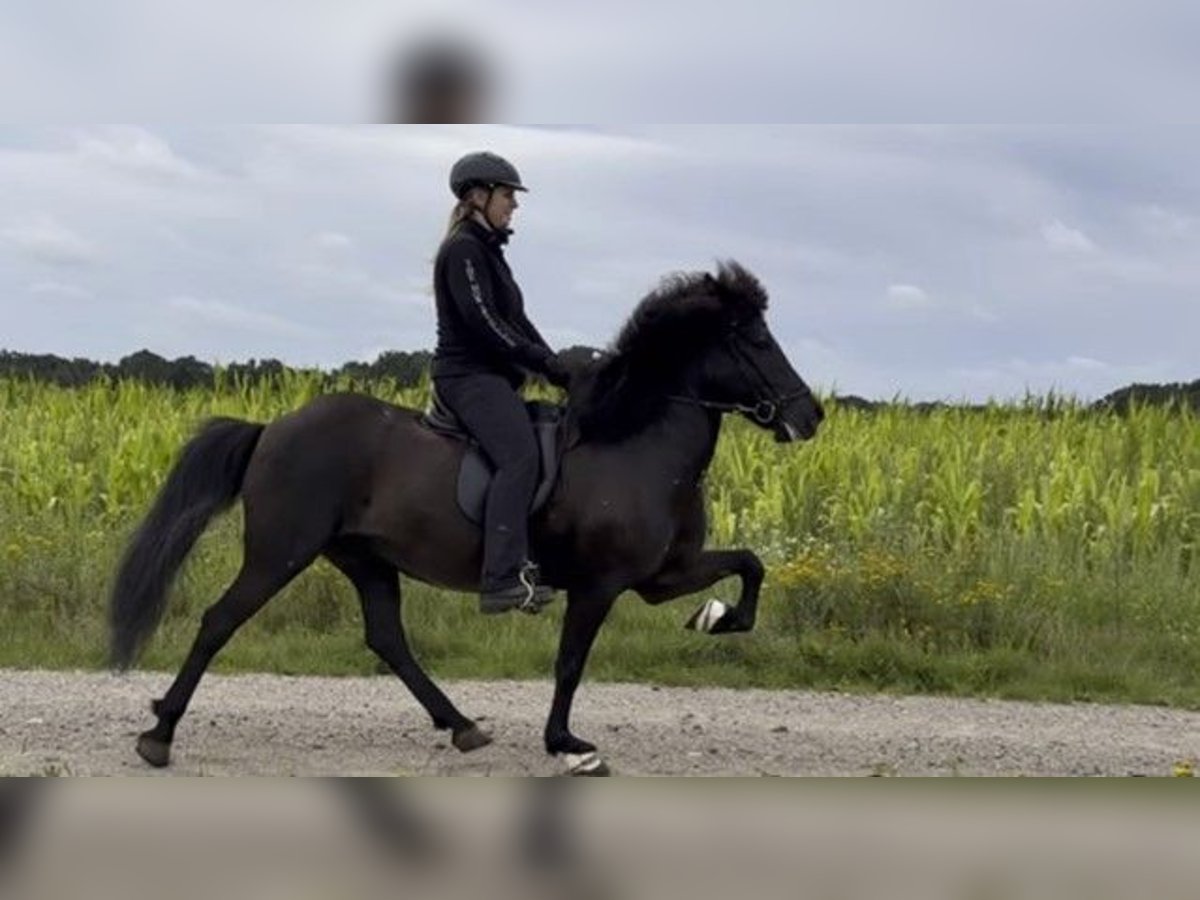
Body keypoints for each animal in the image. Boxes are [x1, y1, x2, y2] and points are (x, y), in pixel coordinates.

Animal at [110, 260, 825, 777]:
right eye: (757, 339)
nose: (810, 416)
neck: (636, 442)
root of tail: (273, 428)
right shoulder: (601, 585)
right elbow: (570, 662)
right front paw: (568, 745)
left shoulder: (661, 574)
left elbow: (750, 565)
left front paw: (716, 618)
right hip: (280, 552)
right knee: (219, 622)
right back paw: (158, 734)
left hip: (364, 559)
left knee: (388, 640)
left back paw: (462, 727)